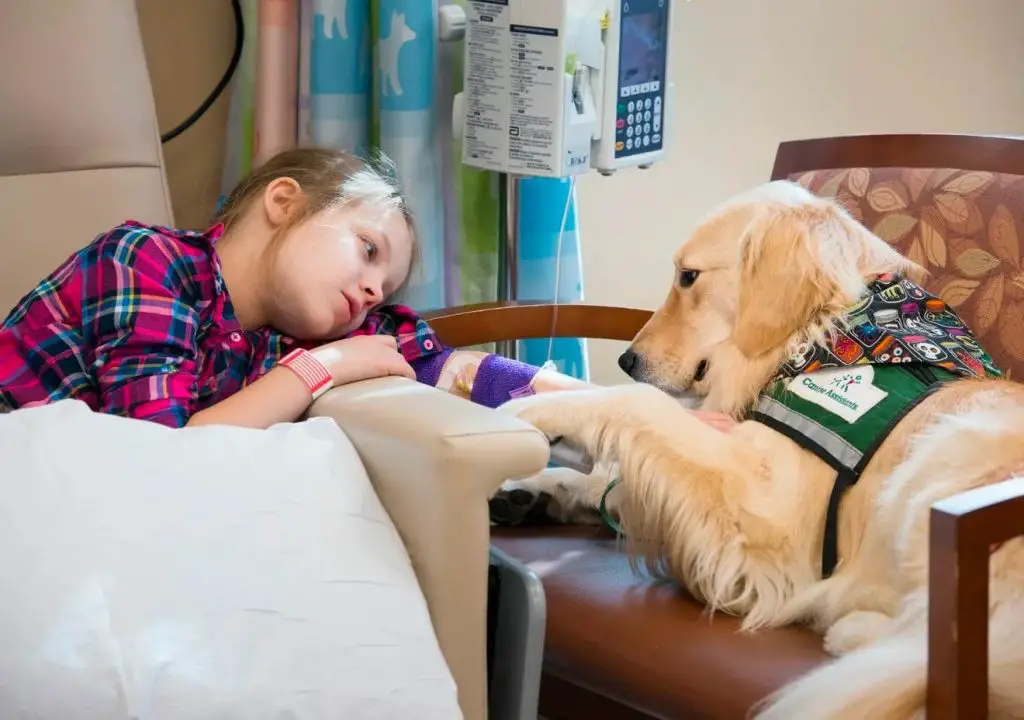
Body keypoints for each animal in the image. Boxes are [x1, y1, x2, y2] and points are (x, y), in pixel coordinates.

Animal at [495, 181, 1024, 720]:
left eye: (688, 277)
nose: (626, 360)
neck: (827, 334)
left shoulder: (771, 513)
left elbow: (636, 403)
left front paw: (536, 409)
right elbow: (610, 478)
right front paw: (533, 487)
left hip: (952, 452)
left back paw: (850, 628)